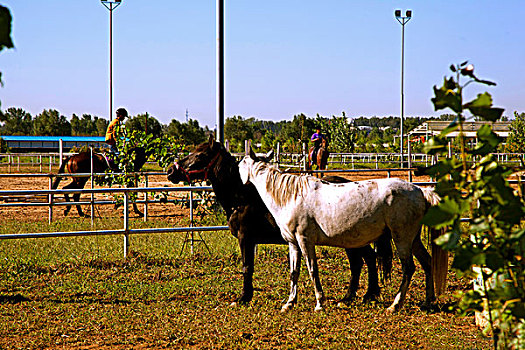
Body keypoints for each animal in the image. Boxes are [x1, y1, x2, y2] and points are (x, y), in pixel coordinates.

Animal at [166, 135, 390, 304]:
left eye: (200, 154)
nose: (171, 170)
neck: (243, 196)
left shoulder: (246, 239)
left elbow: (247, 267)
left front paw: (243, 298)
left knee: (366, 259)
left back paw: (366, 295)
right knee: (360, 261)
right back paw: (353, 296)